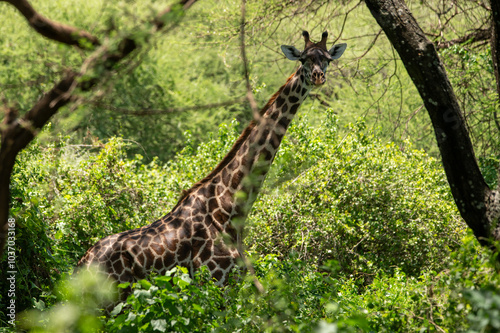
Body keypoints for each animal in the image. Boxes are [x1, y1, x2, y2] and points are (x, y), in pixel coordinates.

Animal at [78, 31, 346, 292]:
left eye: (327, 59)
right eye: (303, 59)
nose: (318, 77)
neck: (230, 210)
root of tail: (81, 266)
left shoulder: (234, 280)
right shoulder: (214, 279)